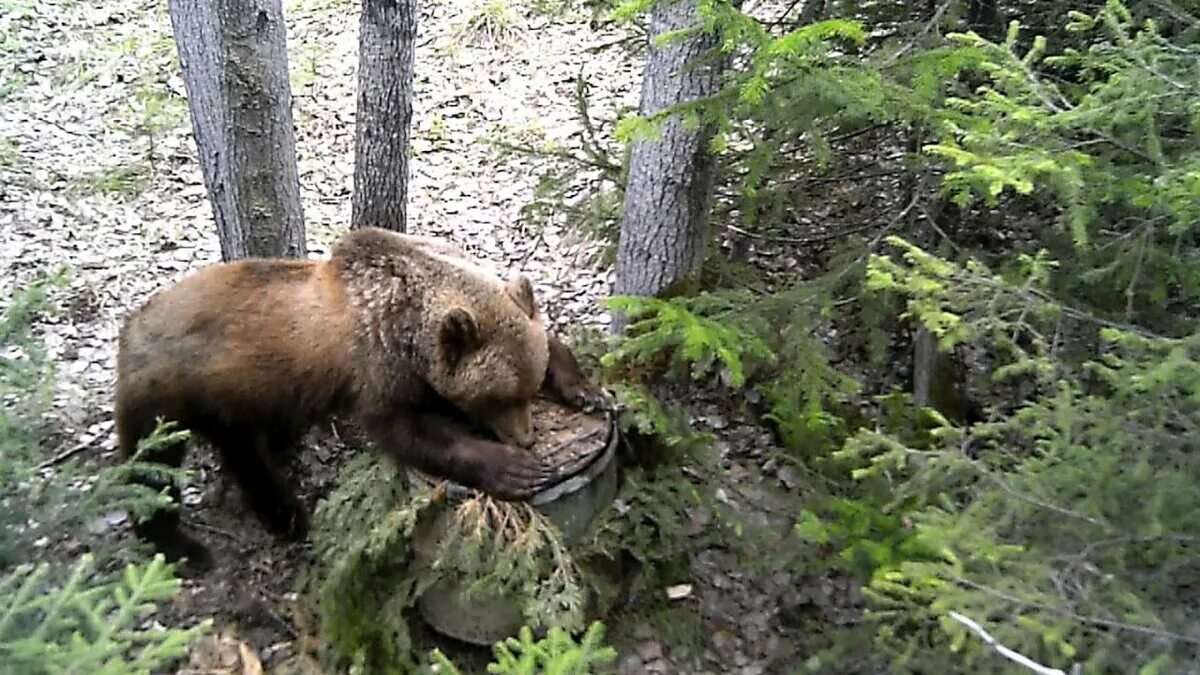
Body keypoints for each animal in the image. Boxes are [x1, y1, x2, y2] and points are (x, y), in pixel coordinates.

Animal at [115, 225, 604, 566]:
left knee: (244, 451)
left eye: (526, 391)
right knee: (150, 470)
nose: (526, 438)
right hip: (167, 393)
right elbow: (406, 430)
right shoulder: (378, 365)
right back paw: (186, 544)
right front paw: (512, 468)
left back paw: (281, 511)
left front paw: (586, 390)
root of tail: (132, 324)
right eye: (498, 399)